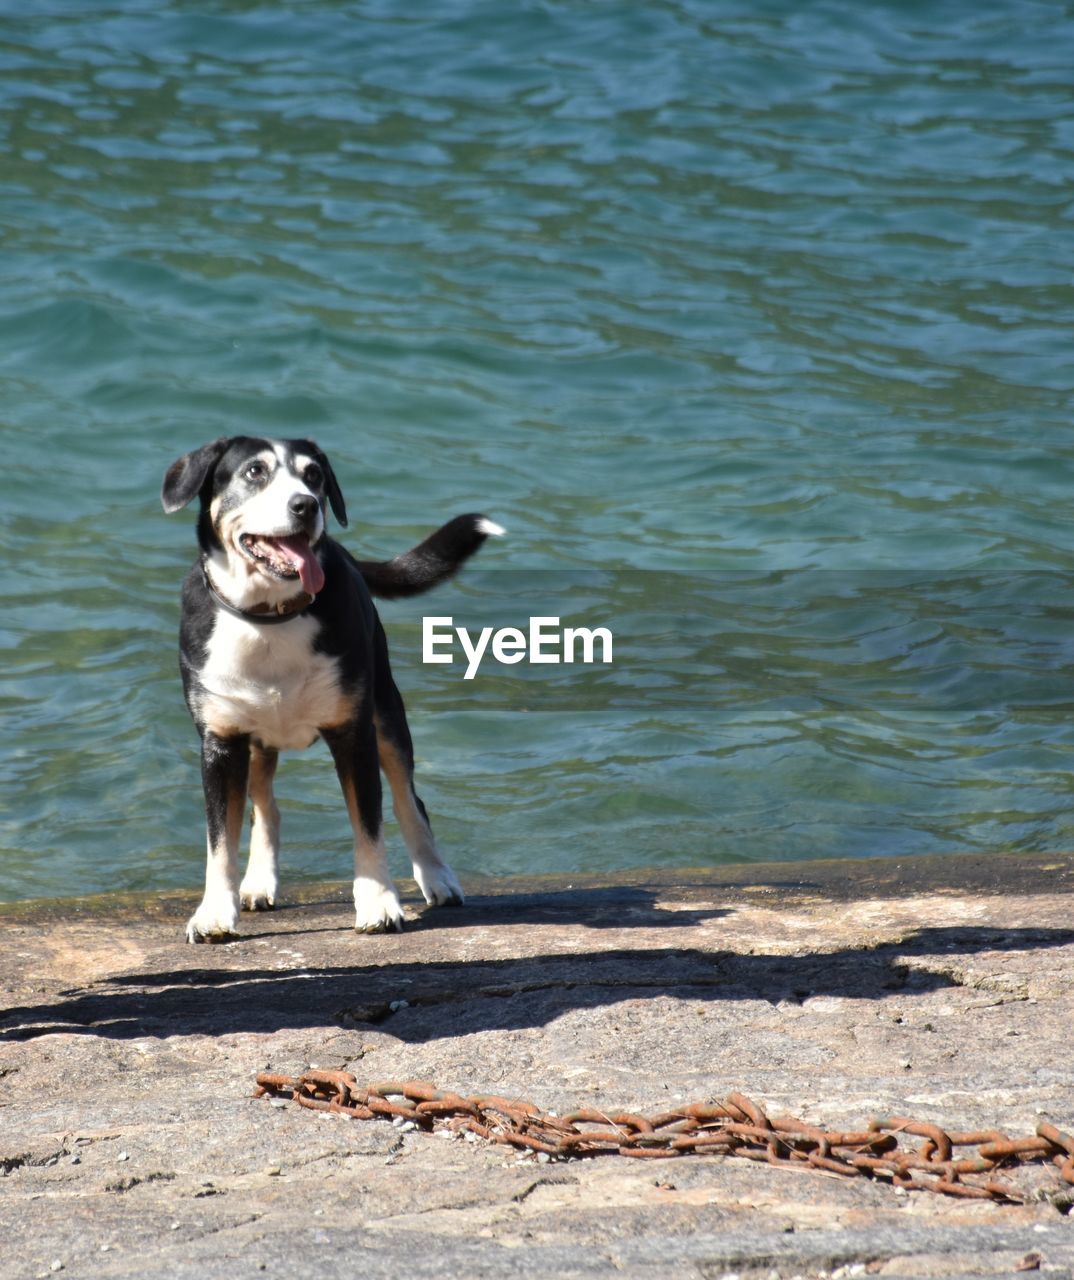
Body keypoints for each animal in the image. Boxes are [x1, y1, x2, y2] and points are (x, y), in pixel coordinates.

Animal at [160, 435, 504, 947]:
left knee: (409, 801)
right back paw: (259, 880)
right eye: (255, 472)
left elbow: (368, 824)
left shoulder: (353, 732)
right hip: (257, 743)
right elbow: (219, 839)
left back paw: (437, 877)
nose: (305, 505)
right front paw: (215, 913)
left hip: (386, 714)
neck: (270, 619)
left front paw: (378, 902)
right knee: (267, 807)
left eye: (314, 476)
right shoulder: (221, 742)